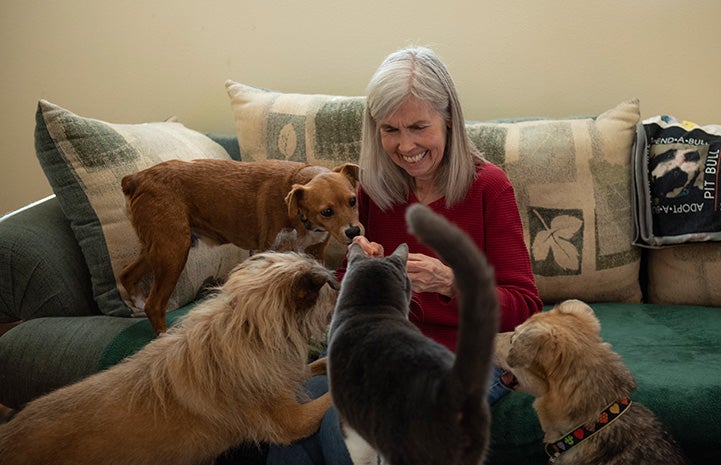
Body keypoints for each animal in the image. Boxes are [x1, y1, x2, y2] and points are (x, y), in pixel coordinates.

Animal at [0, 250, 338, 464]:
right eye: (333, 290)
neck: (247, 329)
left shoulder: (285, 375)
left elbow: (315, 366)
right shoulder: (292, 423)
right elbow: (328, 399)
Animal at [120, 159, 362, 334]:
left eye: (353, 200)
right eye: (327, 211)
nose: (354, 232)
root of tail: (136, 178)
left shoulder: (315, 252)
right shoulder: (270, 253)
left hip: (158, 248)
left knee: (126, 275)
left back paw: (136, 305)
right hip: (173, 250)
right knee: (154, 304)